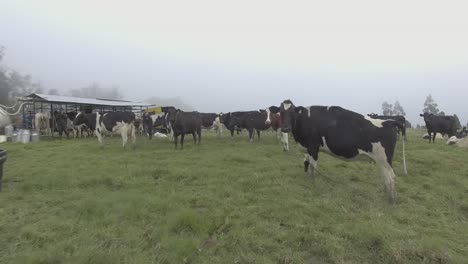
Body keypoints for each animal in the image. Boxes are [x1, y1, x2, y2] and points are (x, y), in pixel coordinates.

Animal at [276, 99, 404, 204]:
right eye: (281, 112)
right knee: (386, 178)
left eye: (292, 112)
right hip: (381, 161)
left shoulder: (313, 147)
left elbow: (313, 167)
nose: (285, 128)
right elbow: (306, 162)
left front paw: (313, 183)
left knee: (391, 178)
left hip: (384, 160)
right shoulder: (308, 148)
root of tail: (389, 121)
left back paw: (391, 201)